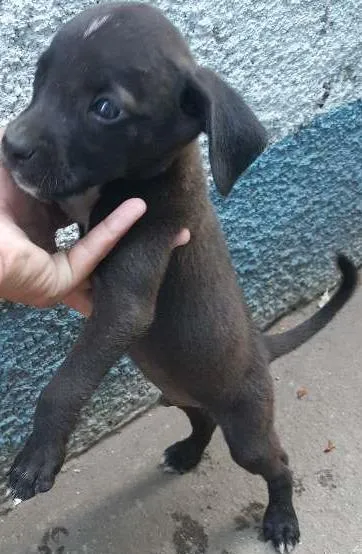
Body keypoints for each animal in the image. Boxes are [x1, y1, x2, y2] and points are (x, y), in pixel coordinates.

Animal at [0, 3, 356, 548]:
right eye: (40, 77)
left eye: (106, 109)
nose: (10, 145)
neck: (132, 178)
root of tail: (260, 345)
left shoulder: (132, 288)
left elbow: (65, 383)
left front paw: (38, 456)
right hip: (176, 391)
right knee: (202, 420)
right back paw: (187, 454)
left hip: (248, 429)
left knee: (277, 464)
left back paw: (282, 519)